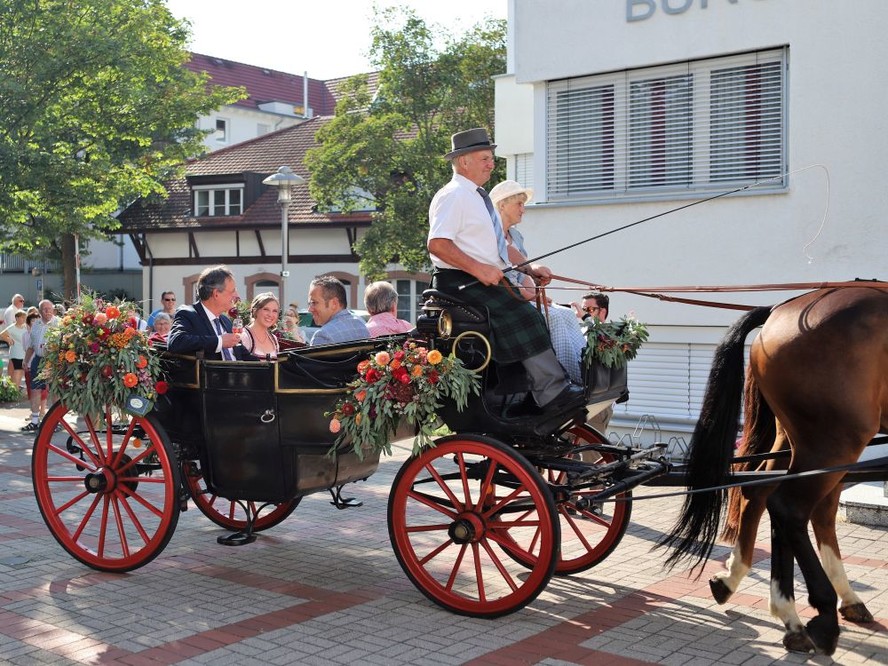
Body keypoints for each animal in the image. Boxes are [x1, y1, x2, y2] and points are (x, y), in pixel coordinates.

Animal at [660, 286, 888, 652]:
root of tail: (780, 310)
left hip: (803, 442)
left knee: (766, 494)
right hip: (833, 441)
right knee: (791, 507)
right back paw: (822, 613)